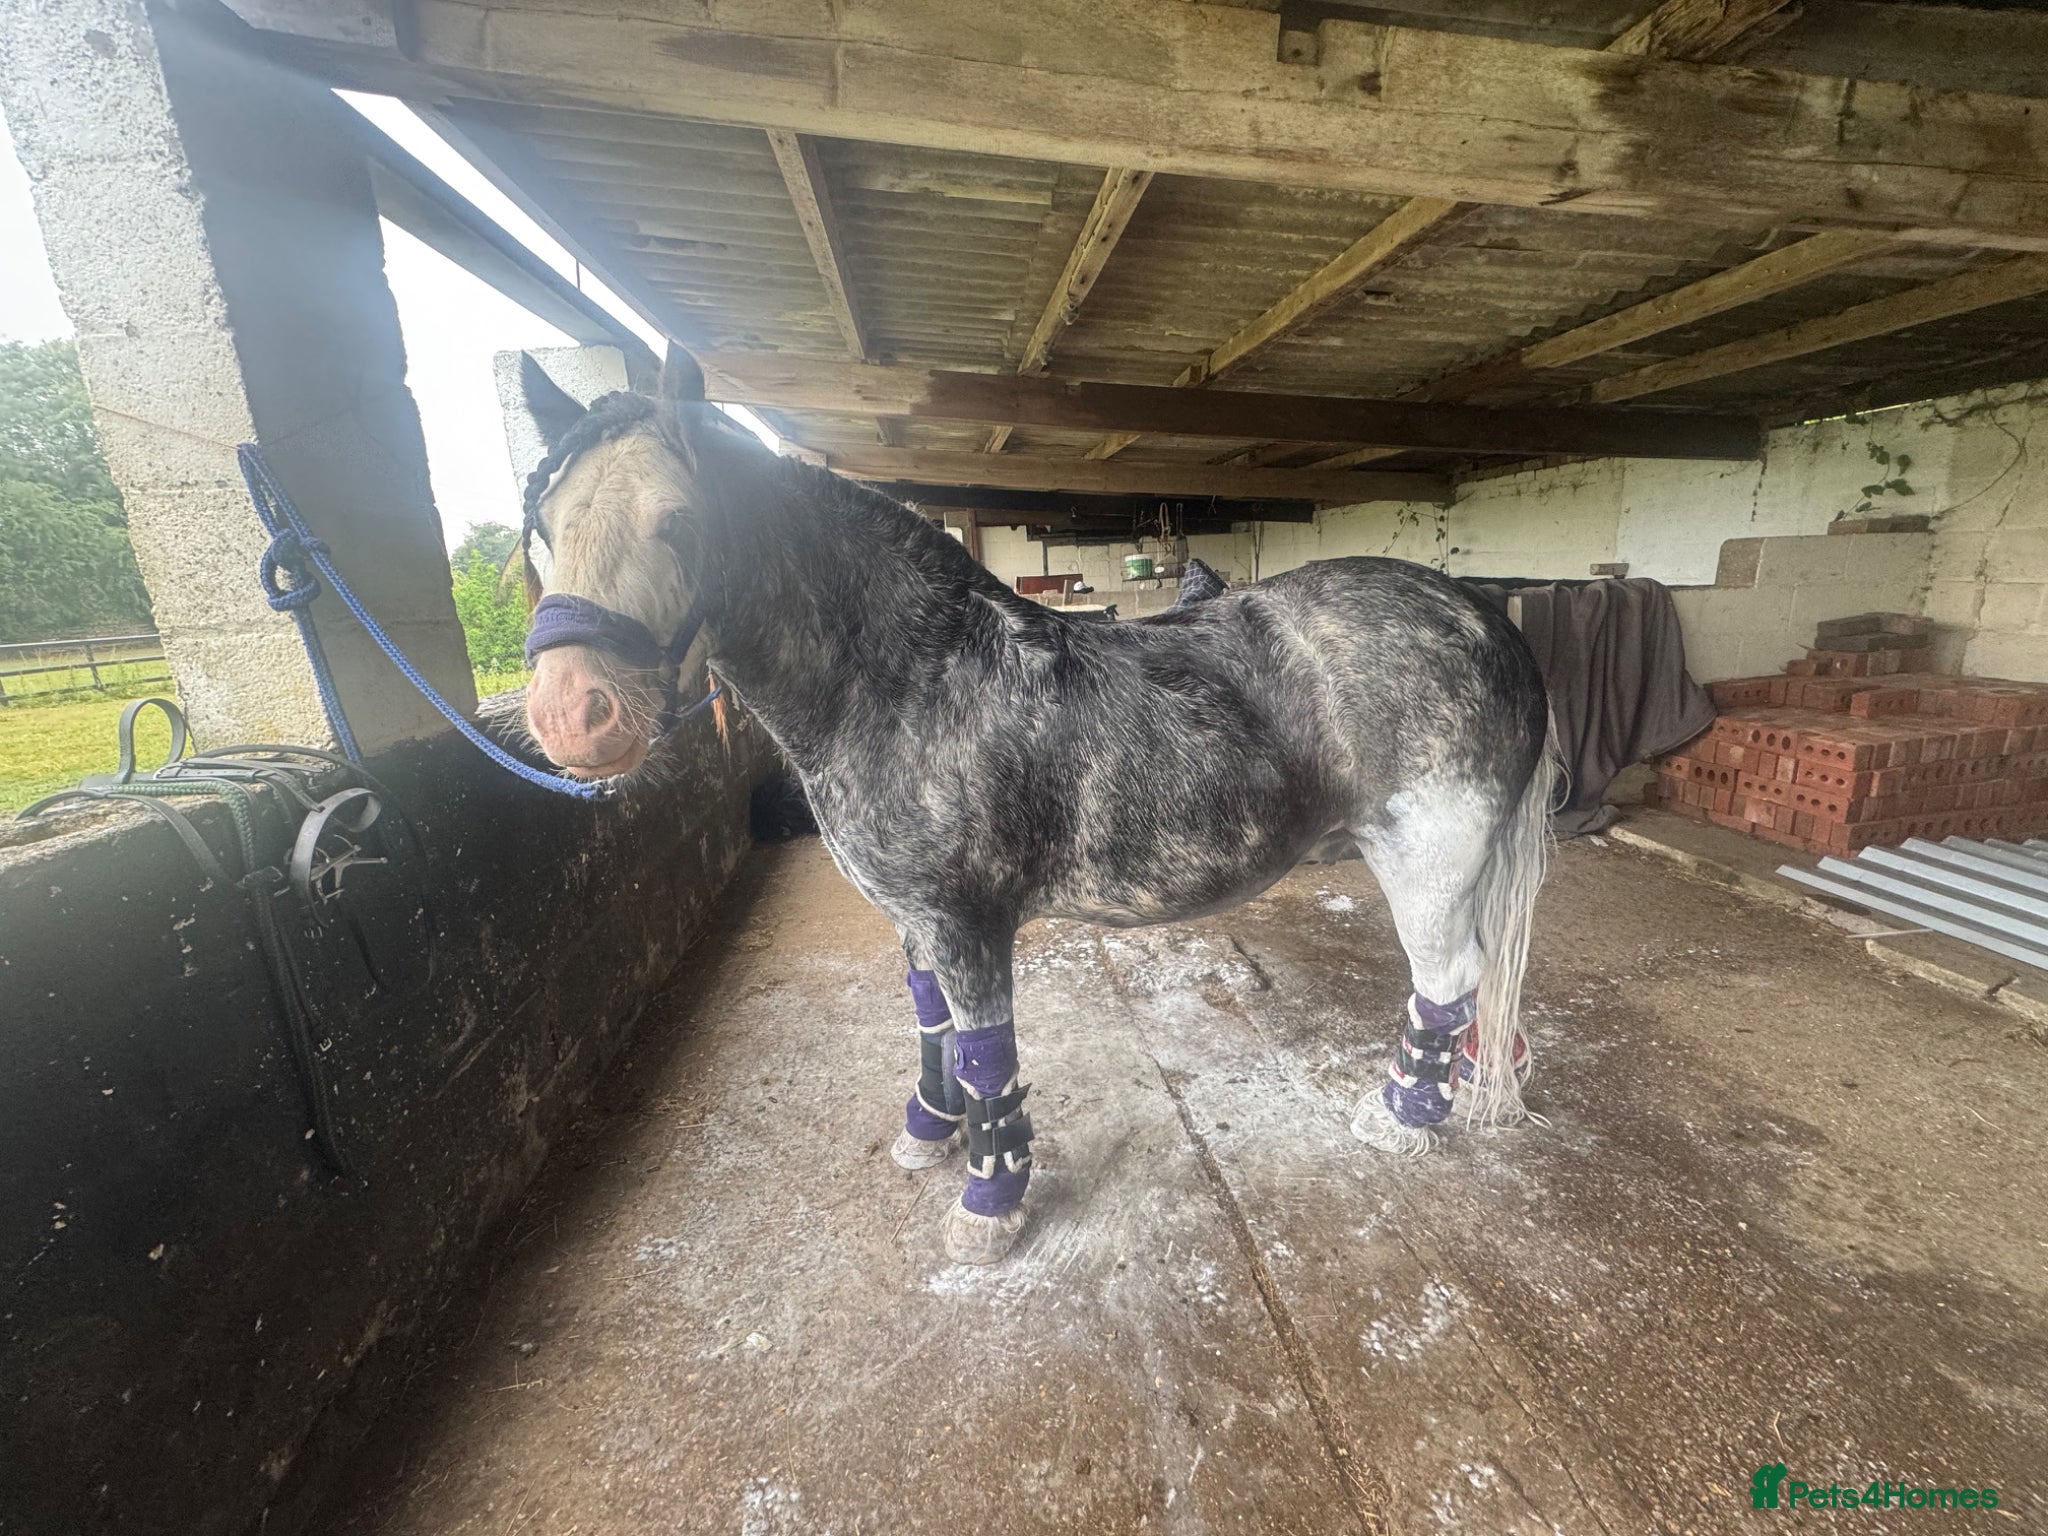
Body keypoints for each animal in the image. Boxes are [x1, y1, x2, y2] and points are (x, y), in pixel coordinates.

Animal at [514, 349, 1560, 1265]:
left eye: (679, 522)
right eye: (543, 527)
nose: (572, 716)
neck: (913, 681)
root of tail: (1486, 620)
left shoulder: (965, 920)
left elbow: (986, 1054)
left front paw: (988, 1203)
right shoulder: (916, 920)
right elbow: (931, 1024)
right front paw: (927, 1128)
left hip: (1427, 860)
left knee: (1449, 976)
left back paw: (1405, 1116)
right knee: (1482, 978)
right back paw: (1483, 1079)